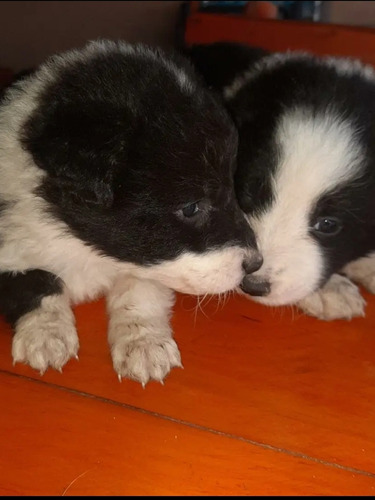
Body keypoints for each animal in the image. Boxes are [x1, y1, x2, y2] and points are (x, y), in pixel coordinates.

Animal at [0, 41, 262, 384]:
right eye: (191, 207)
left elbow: (138, 292)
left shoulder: (148, 263)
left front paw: (145, 345)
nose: (255, 264)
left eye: (232, 185)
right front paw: (45, 336)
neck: (82, 243)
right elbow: (33, 283)